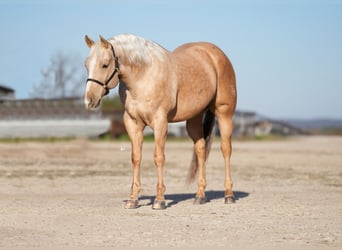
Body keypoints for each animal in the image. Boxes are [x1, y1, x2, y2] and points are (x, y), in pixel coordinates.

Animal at [84, 33, 236, 209]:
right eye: (86, 65)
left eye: (105, 64)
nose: (89, 100)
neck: (143, 76)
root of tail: (215, 54)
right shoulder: (132, 123)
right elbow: (136, 158)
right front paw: (133, 199)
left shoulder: (160, 122)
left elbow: (159, 157)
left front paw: (159, 200)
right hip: (194, 119)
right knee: (201, 150)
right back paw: (200, 196)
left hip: (224, 113)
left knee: (226, 149)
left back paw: (229, 195)